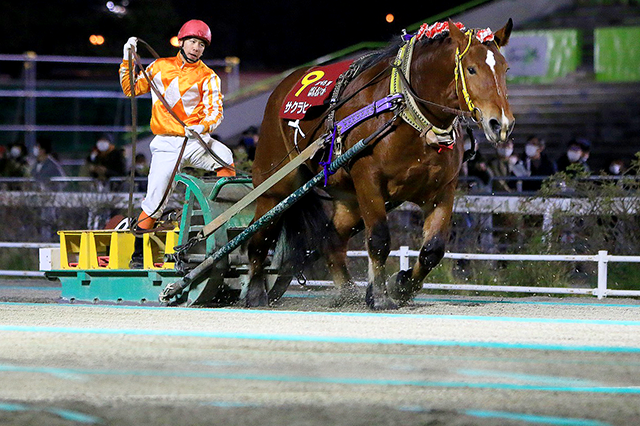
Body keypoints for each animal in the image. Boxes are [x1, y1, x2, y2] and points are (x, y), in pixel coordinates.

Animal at [245, 20, 516, 308]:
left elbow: (433, 250)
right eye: (471, 69)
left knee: (331, 239)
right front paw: (380, 295)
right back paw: (255, 291)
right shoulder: (369, 181)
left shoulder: (442, 190)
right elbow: (379, 239)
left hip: (349, 200)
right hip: (276, 187)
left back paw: (346, 291)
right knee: (259, 236)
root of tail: (282, 87)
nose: (501, 124)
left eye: (505, 68)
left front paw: (401, 285)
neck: (407, 113)